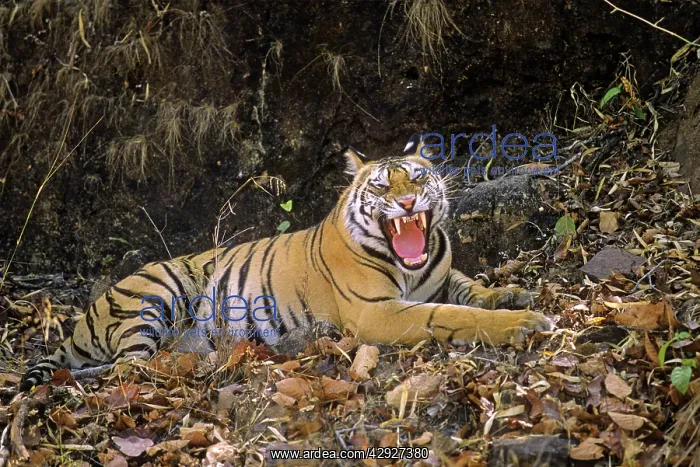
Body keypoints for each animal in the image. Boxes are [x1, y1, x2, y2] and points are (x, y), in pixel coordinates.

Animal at [21, 135, 553, 390]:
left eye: (418, 179)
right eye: (382, 186)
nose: (406, 203)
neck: (412, 264)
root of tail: (84, 317)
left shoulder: (440, 275)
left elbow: (469, 289)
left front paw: (510, 293)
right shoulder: (376, 312)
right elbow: (451, 314)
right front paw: (522, 323)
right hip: (158, 291)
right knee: (130, 368)